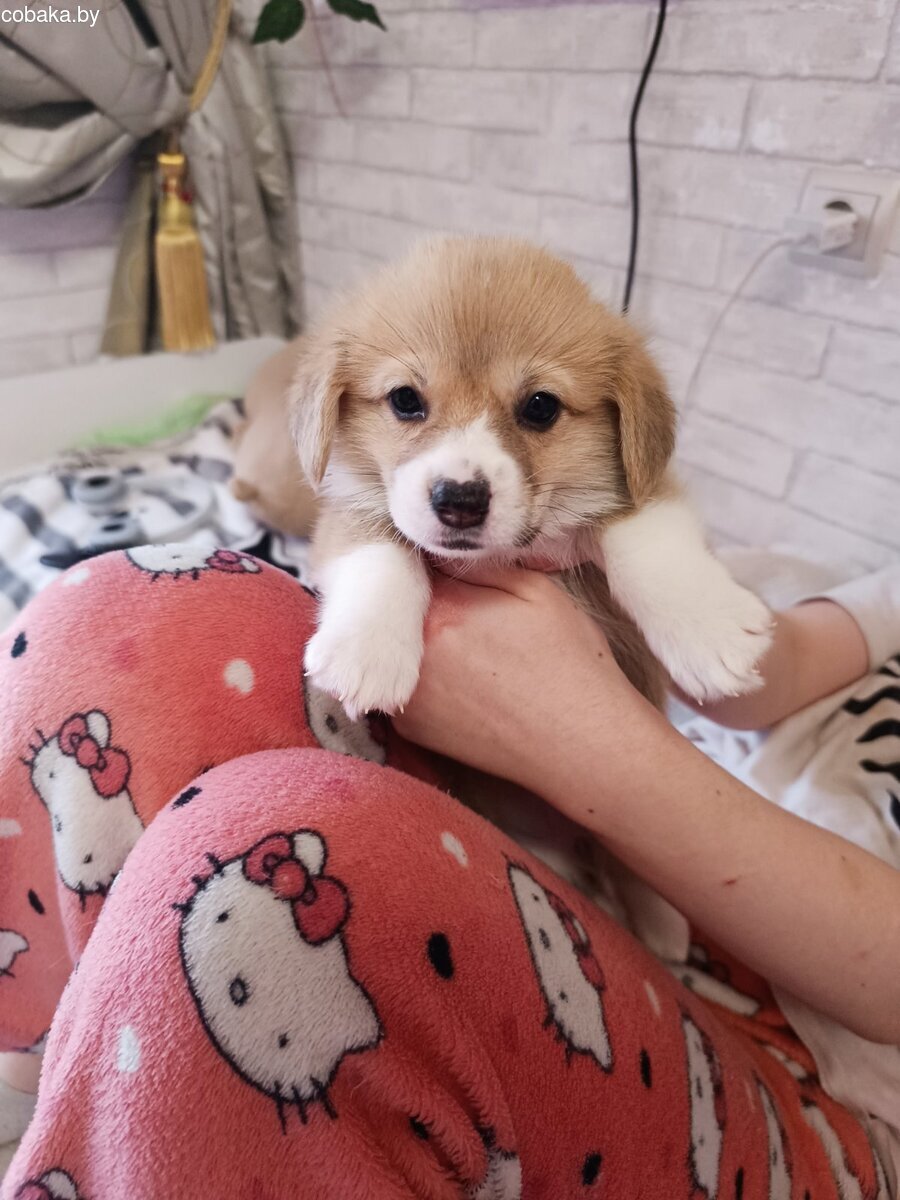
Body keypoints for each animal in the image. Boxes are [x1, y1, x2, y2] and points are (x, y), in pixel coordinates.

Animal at [289, 236, 772, 957]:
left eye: (540, 407)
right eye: (405, 400)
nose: (459, 500)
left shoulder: (641, 495)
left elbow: (643, 538)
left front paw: (711, 633)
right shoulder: (345, 513)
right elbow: (381, 549)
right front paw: (367, 652)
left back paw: (663, 925)